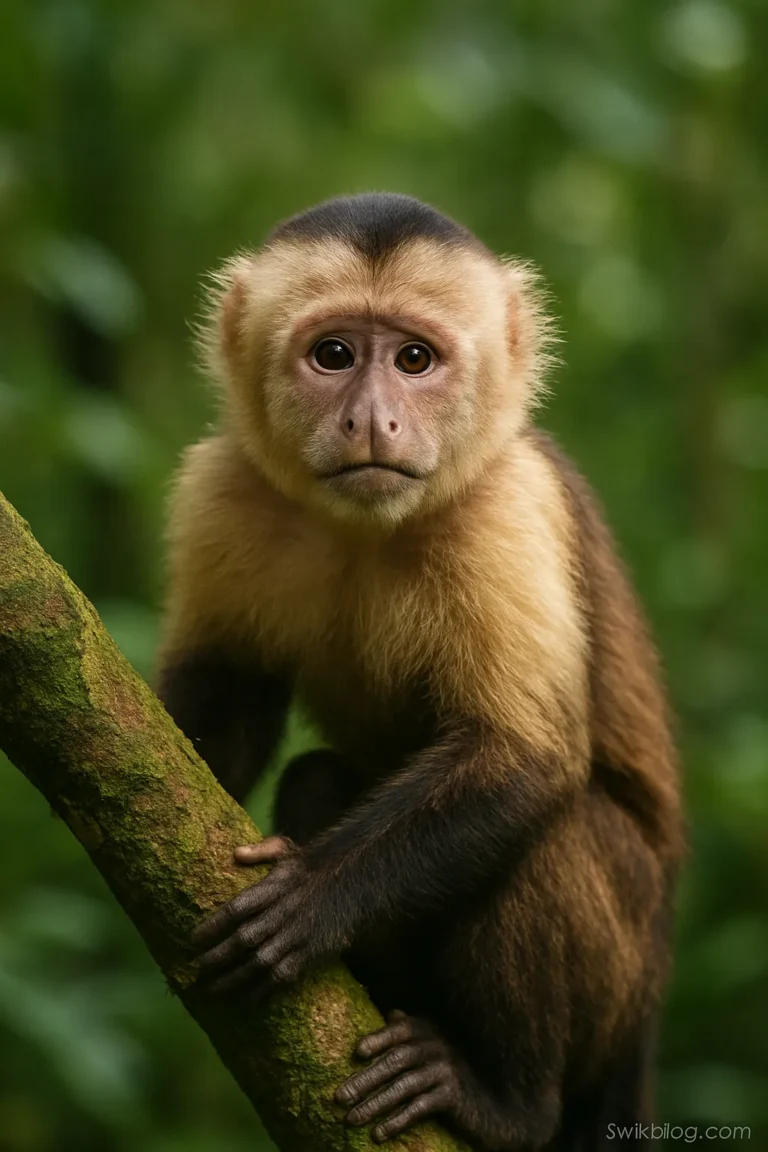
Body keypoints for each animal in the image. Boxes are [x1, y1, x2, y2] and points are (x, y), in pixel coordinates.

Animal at [155, 193, 684, 1151]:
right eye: (333, 355)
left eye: (414, 359)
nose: (373, 420)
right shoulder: (223, 488)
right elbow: (220, 714)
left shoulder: (510, 507)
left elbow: (524, 757)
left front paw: (311, 900)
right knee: (319, 782)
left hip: (626, 982)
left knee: (551, 831)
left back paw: (508, 1100)